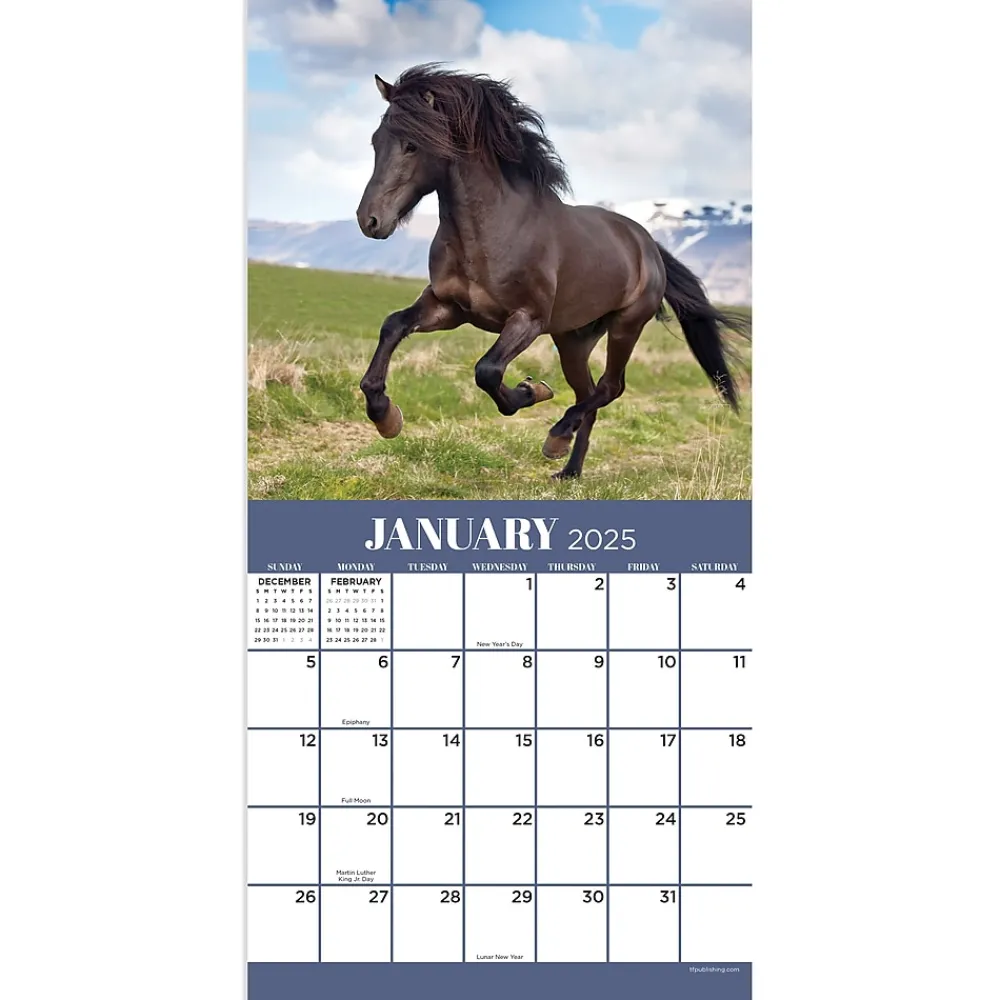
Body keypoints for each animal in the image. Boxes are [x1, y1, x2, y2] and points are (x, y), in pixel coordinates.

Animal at [355, 64, 749, 480]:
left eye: (412, 145)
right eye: (376, 141)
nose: (370, 220)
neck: (492, 230)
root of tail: (647, 244)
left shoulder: (527, 319)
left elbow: (488, 370)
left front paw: (532, 390)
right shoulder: (448, 307)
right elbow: (393, 326)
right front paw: (385, 415)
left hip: (626, 325)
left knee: (610, 387)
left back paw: (557, 436)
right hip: (573, 339)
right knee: (588, 391)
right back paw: (569, 469)